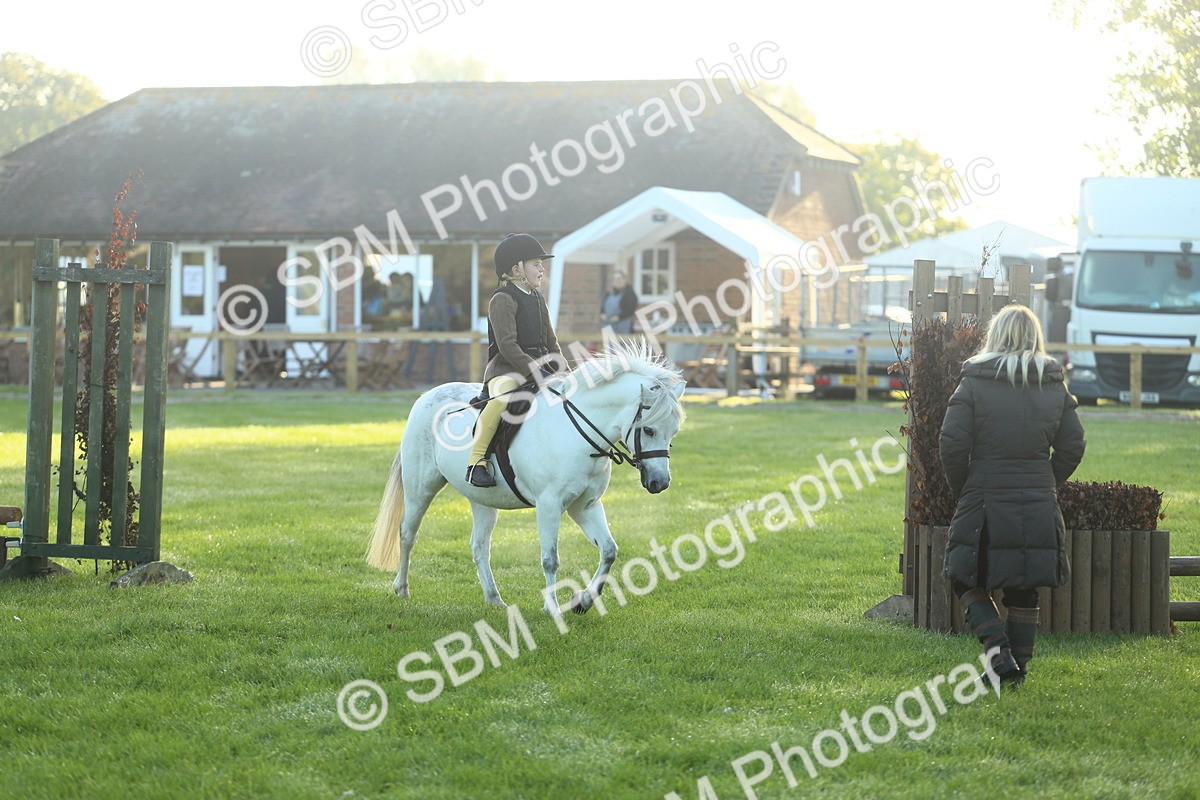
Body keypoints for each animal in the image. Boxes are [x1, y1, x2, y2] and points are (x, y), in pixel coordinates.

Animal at [365, 339, 687, 616]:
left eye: (673, 432)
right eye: (648, 430)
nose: (660, 483)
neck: (576, 432)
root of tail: (426, 397)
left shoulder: (585, 505)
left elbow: (609, 551)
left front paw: (583, 601)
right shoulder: (549, 506)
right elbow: (550, 558)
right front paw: (553, 608)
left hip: (482, 499)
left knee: (479, 547)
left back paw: (494, 599)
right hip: (421, 488)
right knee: (407, 533)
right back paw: (402, 589)